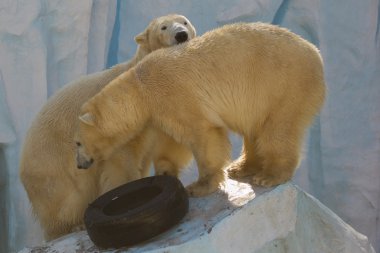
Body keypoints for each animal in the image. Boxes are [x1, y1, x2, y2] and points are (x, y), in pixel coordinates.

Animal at [18, 14, 196, 241]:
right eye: (163, 27)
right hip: (52, 164)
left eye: (185, 22)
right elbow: (121, 161)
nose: (181, 35)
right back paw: (71, 226)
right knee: (69, 195)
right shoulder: (118, 116)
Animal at [75, 22, 326, 197]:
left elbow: (203, 135)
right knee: (255, 130)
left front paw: (200, 186)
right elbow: (173, 144)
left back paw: (269, 175)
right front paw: (165, 171)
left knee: (277, 130)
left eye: (76, 143)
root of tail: (315, 52)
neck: (140, 87)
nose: (79, 164)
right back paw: (241, 167)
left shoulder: (174, 94)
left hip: (283, 85)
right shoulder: (160, 110)